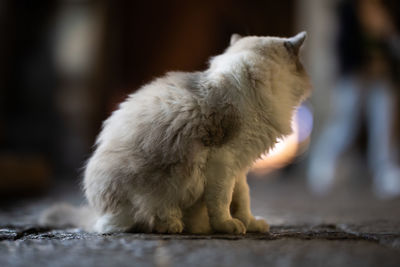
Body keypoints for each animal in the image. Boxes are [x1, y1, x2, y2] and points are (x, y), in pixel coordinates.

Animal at [39, 32, 310, 236]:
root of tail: (96, 212)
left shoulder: (240, 167)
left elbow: (243, 200)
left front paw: (251, 224)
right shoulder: (224, 163)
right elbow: (223, 201)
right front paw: (228, 226)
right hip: (155, 190)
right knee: (131, 223)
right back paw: (173, 226)